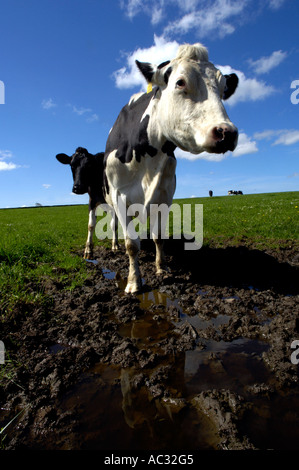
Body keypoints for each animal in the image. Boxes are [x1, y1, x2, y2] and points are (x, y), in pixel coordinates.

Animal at [104, 42, 240, 292]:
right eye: (180, 82)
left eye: (223, 89)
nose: (227, 132)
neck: (149, 157)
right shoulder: (119, 195)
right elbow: (131, 244)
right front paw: (134, 282)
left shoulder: (165, 194)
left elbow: (159, 236)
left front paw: (162, 268)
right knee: (115, 226)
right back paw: (114, 245)